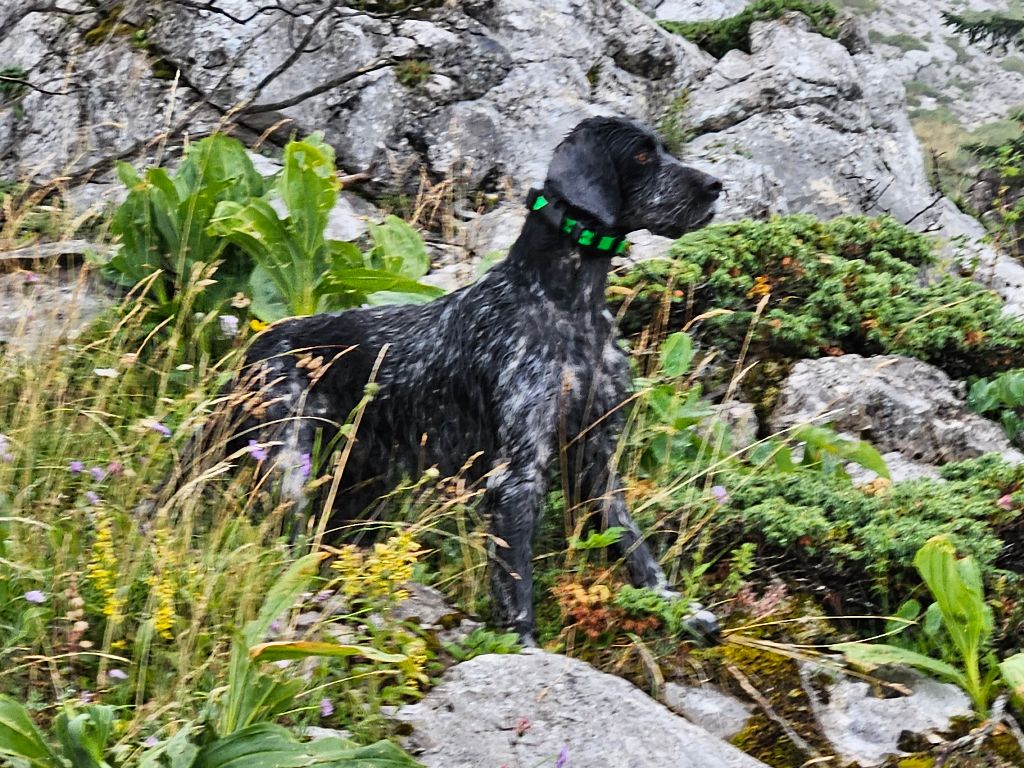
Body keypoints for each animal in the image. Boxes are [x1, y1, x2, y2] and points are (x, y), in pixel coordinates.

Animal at [232, 115, 724, 643]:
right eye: (641, 156)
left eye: (664, 150)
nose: (716, 186)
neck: (569, 307)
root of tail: (253, 349)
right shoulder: (518, 472)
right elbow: (517, 582)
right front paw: (524, 647)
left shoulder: (596, 456)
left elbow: (635, 546)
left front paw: (676, 606)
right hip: (287, 470)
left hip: (356, 485)